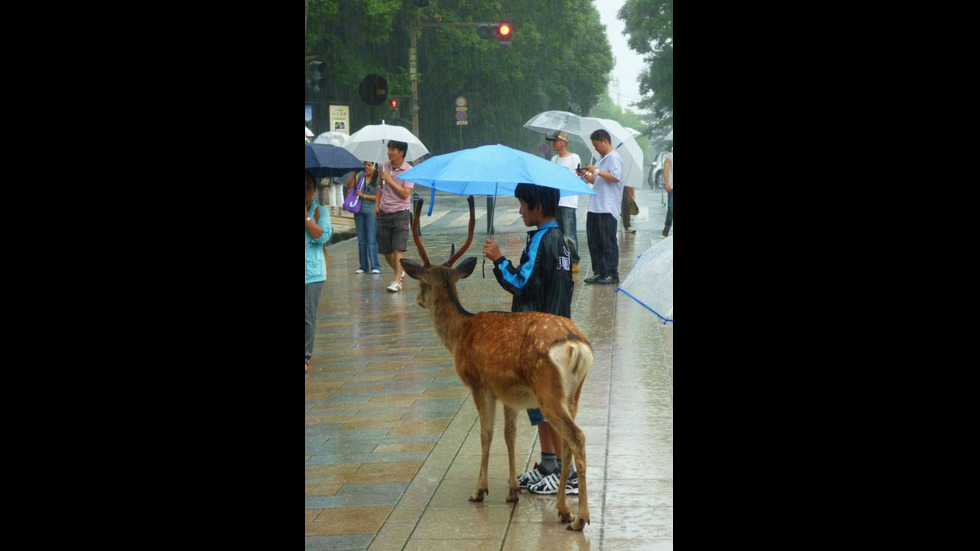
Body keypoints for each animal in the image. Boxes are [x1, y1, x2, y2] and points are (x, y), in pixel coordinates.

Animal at [396, 196, 592, 532]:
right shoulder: (509, 393)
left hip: (548, 391)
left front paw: (480, 490)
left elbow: (486, 434)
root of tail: (574, 344)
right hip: (572, 394)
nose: (418, 301)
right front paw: (512, 490)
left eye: (422, 284)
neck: (460, 332)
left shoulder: (479, 382)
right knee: (567, 441)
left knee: (576, 437)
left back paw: (580, 518)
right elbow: (509, 435)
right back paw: (563, 510)